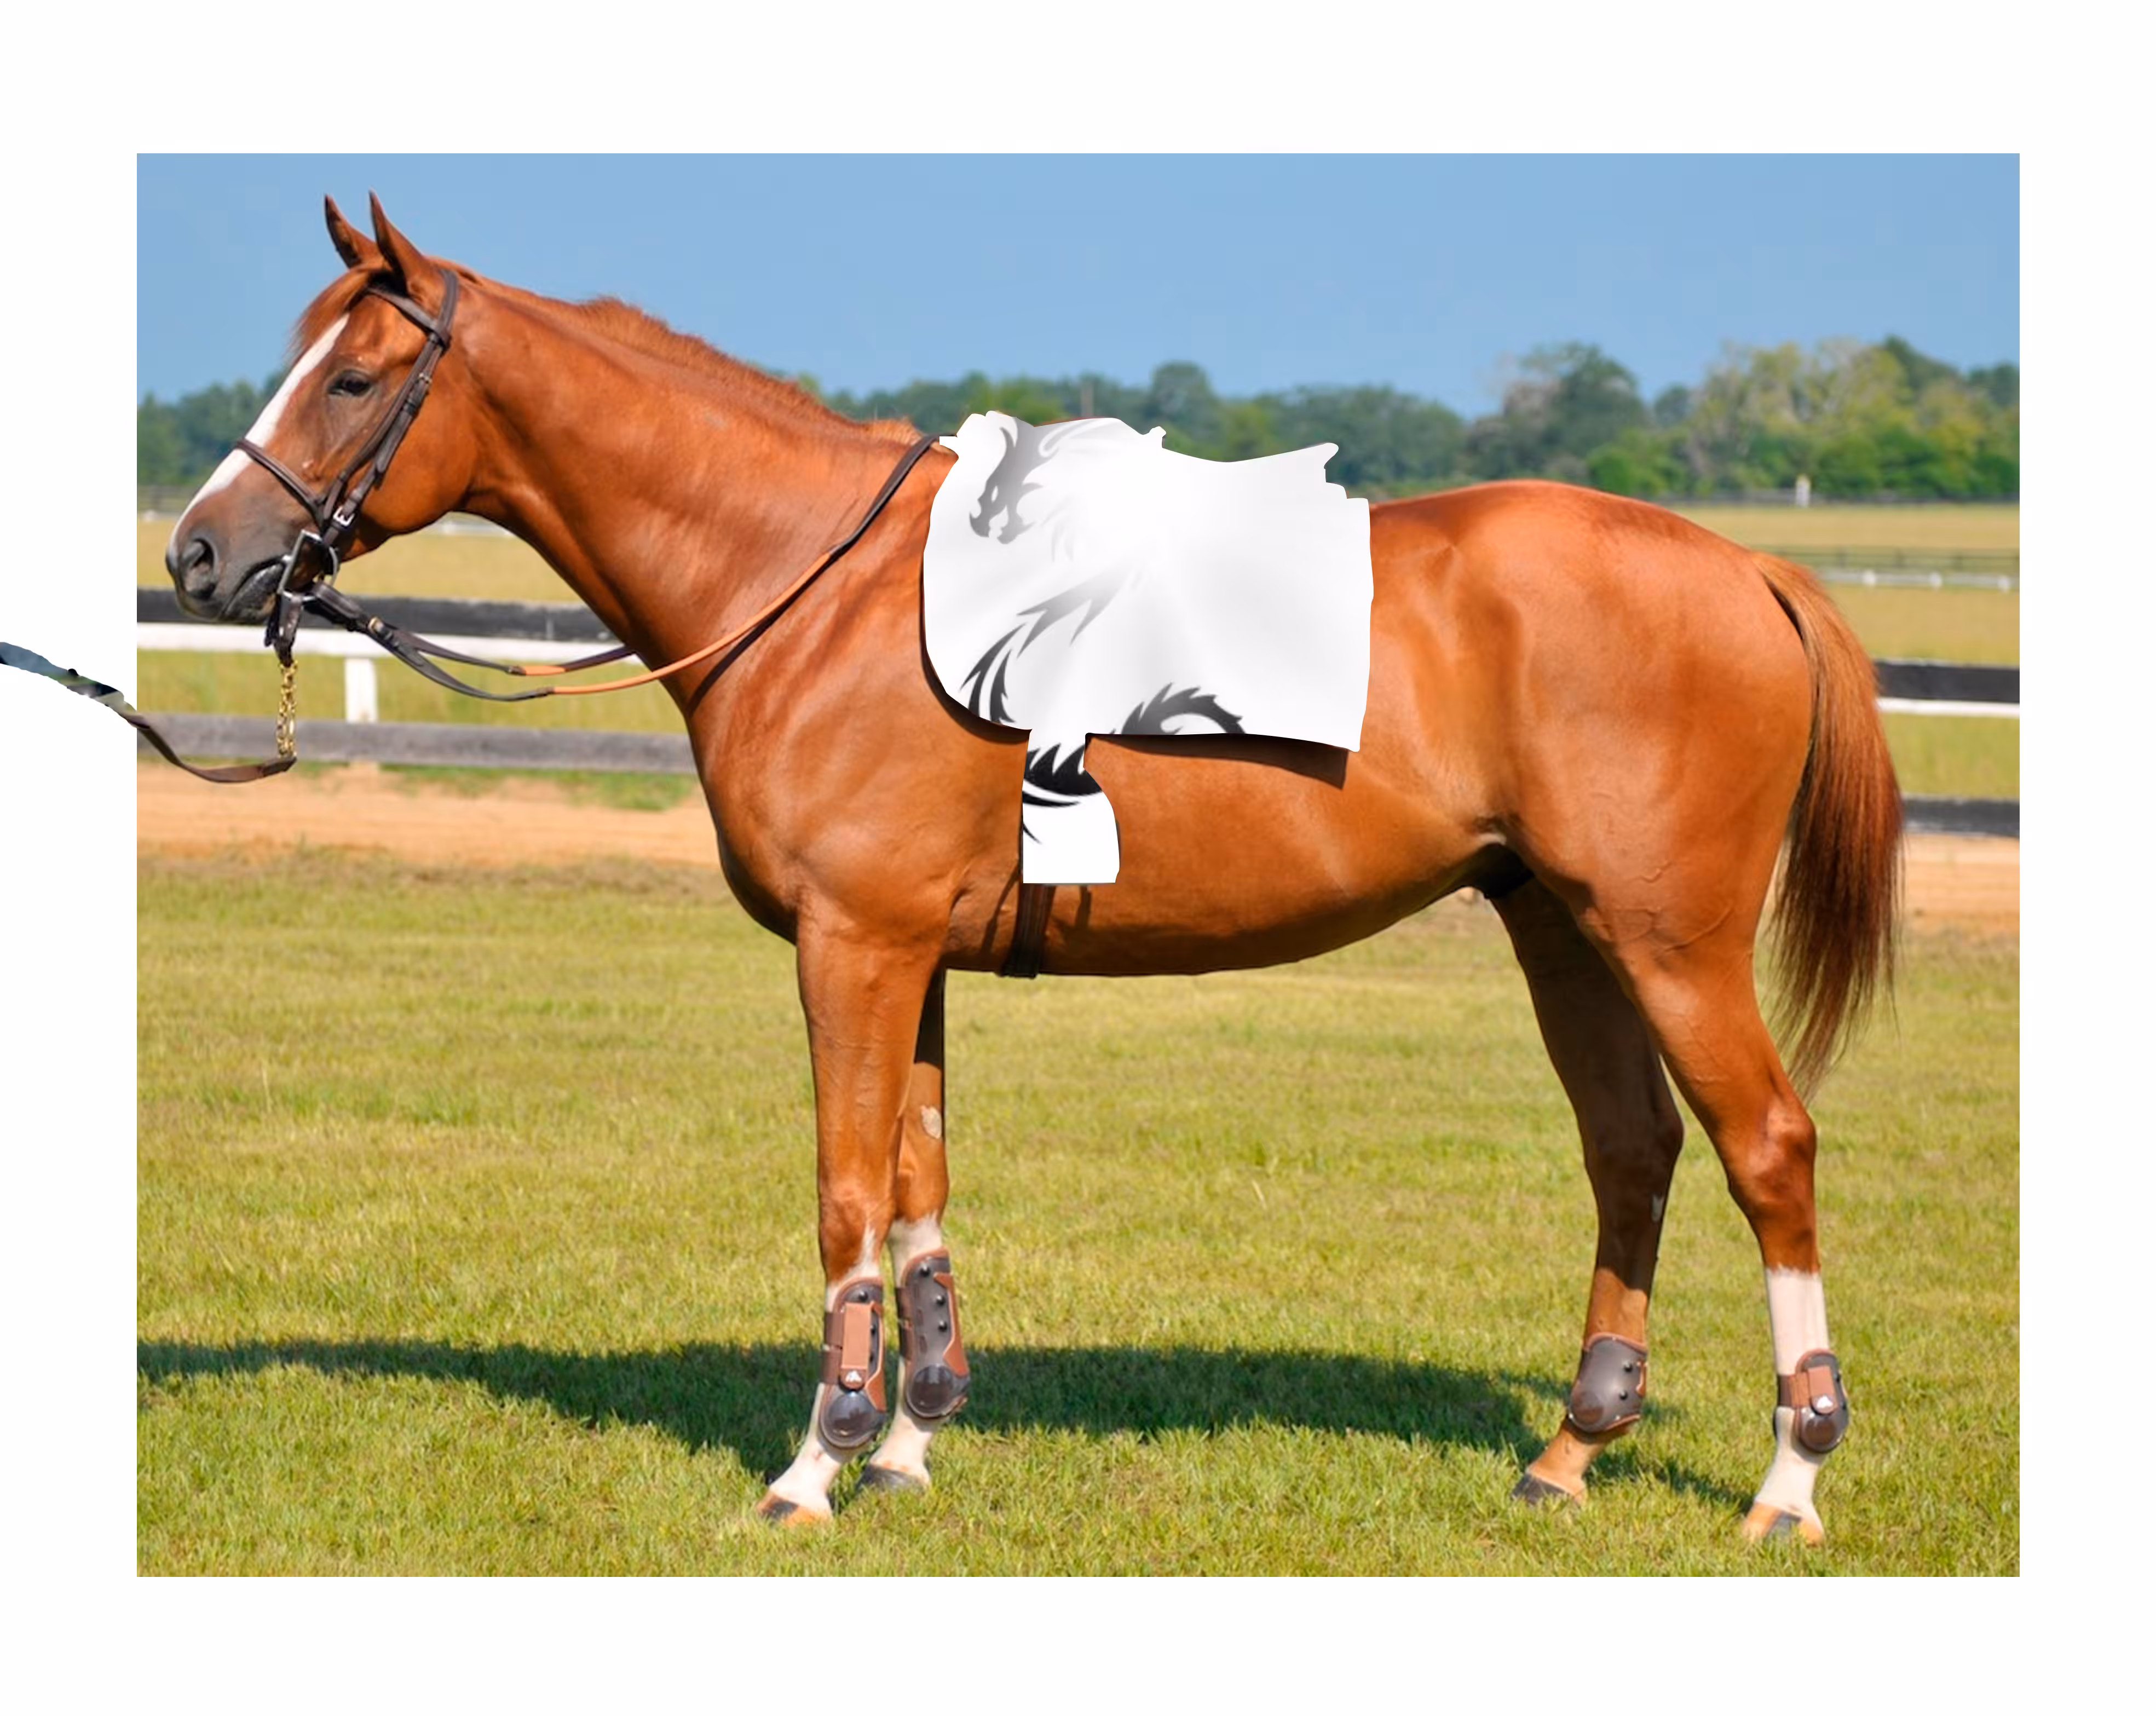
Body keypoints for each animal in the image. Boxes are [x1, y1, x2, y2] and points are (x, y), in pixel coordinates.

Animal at [161, 196, 1900, 1541]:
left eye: (358, 376)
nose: (196, 554)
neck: (814, 584)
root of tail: (1741, 564)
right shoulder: (909, 955)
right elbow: (920, 1195)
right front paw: (909, 1439)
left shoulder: (851, 947)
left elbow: (844, 1198)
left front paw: (812, 1466)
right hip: (1559, 923)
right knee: (1632, 1151)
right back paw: (1566, 1454)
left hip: (1667, 938)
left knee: (1767, 1148)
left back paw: (1788, 1477)